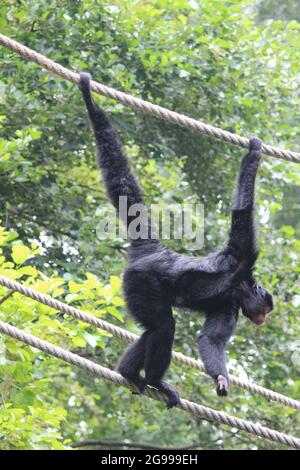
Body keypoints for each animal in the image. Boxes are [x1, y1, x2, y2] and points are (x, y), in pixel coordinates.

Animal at [78, 72, 274, 408]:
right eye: (265, 308)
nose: (263, 318)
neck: (239, 286)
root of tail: (155, 249)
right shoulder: (241, 257)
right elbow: (242, 215)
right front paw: (254, 153)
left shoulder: (228, 305)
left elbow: (210, 339)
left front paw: (221, 378)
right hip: (141, 280)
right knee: (163, 325)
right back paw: (156, 380)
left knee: (152, 329)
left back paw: (129, 373)